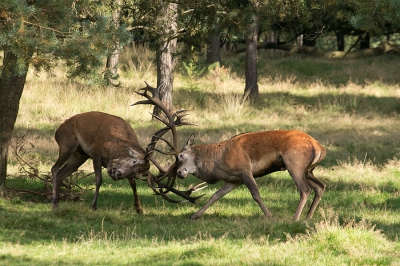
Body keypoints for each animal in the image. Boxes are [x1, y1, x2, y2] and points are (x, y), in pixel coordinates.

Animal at [177, 130, 326, 220]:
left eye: (180, 155)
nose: (179, 172)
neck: (218, 163)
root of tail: (320, 147)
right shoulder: (233, 180)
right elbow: (216, 195)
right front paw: (195, 215)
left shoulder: (245, 171)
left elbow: (256, 195)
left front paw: (270, 216)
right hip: (307, 170)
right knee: (321, 186)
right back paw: (308, 217)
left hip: (295, 164)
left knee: (305, 189)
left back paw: (295, 218)